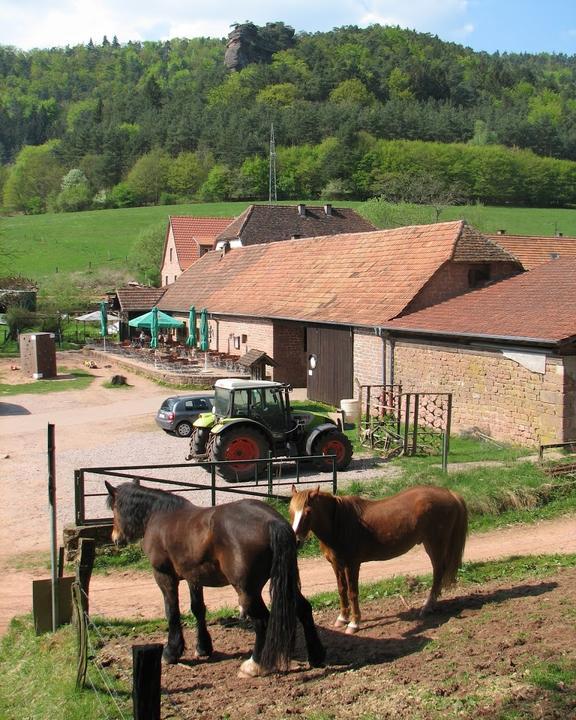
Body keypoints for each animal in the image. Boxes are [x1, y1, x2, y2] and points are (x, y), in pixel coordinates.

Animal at [106, 480, 326, 676]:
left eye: (114, 509)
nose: (115, 538)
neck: (160, 516)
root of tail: (273, 521)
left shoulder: (164, 576)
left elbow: (172, 611)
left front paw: (171, 652)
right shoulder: (194, 577)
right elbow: (198, 609)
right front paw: (203, 647)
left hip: (247, 591)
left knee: (262, 621)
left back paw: (254, 665)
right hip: (287, 581)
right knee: (304, 609)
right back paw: (316, 656)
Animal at [290, 484, 466, 636]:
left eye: (308, 511)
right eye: (291, 511)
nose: (296, 541)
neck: (339, 524)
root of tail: (450, 493)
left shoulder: (352, 565)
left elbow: (352, 592)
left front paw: (354, 623)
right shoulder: (336, 564)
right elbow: (341, 590)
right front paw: (342, 618)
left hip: (435, 544)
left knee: (438, 571)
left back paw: (427, 606)